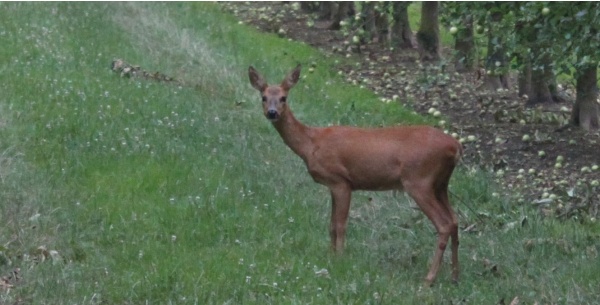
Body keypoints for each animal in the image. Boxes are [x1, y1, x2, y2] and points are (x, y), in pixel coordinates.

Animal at [248, 64, 464, 284]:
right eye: (263, 97)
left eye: (284, 97)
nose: (272, 112)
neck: (311, 143)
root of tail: (455, 146)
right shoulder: (334, 185)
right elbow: (331, 225)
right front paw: (330, 255)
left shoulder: (341, 181)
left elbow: (340, 224)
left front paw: (339, 259)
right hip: (440, 184)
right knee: (455, 221)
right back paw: (454, 276)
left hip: (419, 180)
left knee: (444, 224)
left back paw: (429, 279)